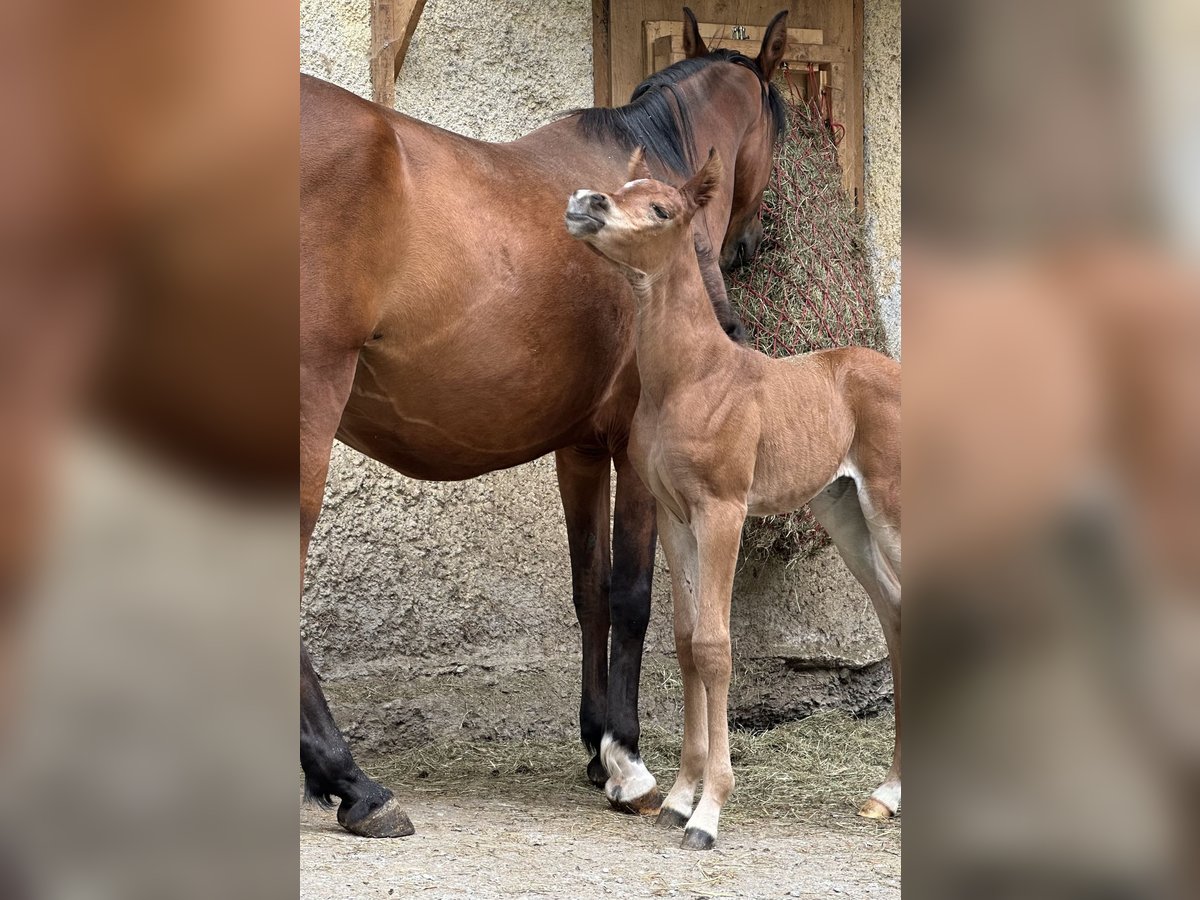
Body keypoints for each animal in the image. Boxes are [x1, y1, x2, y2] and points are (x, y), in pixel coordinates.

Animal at [298, 8, 792, 840]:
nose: (750, 247)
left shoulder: (580, 450)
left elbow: (588, 588)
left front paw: (597, 751)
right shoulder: (631, 451)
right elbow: (631, 595)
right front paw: (627, 760)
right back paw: (353, 783)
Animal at [568, 151, 902, 849]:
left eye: (661, 208)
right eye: (619, 186)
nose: (585, 203)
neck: (691, 377)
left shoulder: (722, 512)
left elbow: (717, 648)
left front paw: (709, 814)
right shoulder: (675, 517)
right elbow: (687, 639)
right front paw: (677, 799)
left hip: (894, 509)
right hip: (846, 515)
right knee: (895, 615)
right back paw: (886, 795)